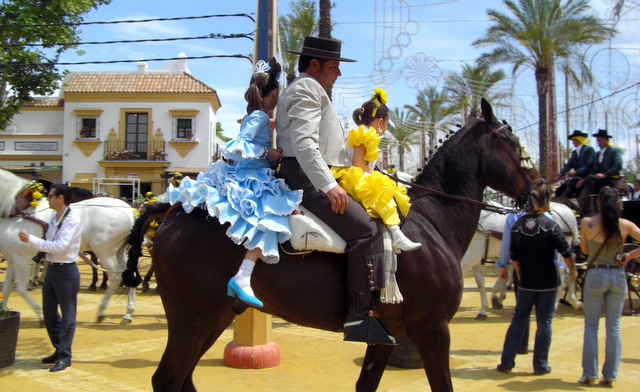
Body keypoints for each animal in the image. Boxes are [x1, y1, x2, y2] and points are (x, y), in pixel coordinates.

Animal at [0, 170, 136, 324]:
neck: (19, 212)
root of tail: (129, 211)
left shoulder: (21, 258)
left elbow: (21, 288)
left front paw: (40, 314)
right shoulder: (12, 258)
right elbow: (7, 288)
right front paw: (3, 313)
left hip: (105, 251)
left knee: (116, 277)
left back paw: (102, 310)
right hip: (120, 250)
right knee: (128, 274)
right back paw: (128, 313)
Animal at [139, 99, 540, 390]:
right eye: (514, 143)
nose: (543, 192)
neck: (431, 224)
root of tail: (174, 210)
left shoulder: (387, 336)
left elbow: (366, 385)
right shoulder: (433, 331)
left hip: (215, 317)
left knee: (182, 378)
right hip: (193, 319)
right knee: (169, 378)